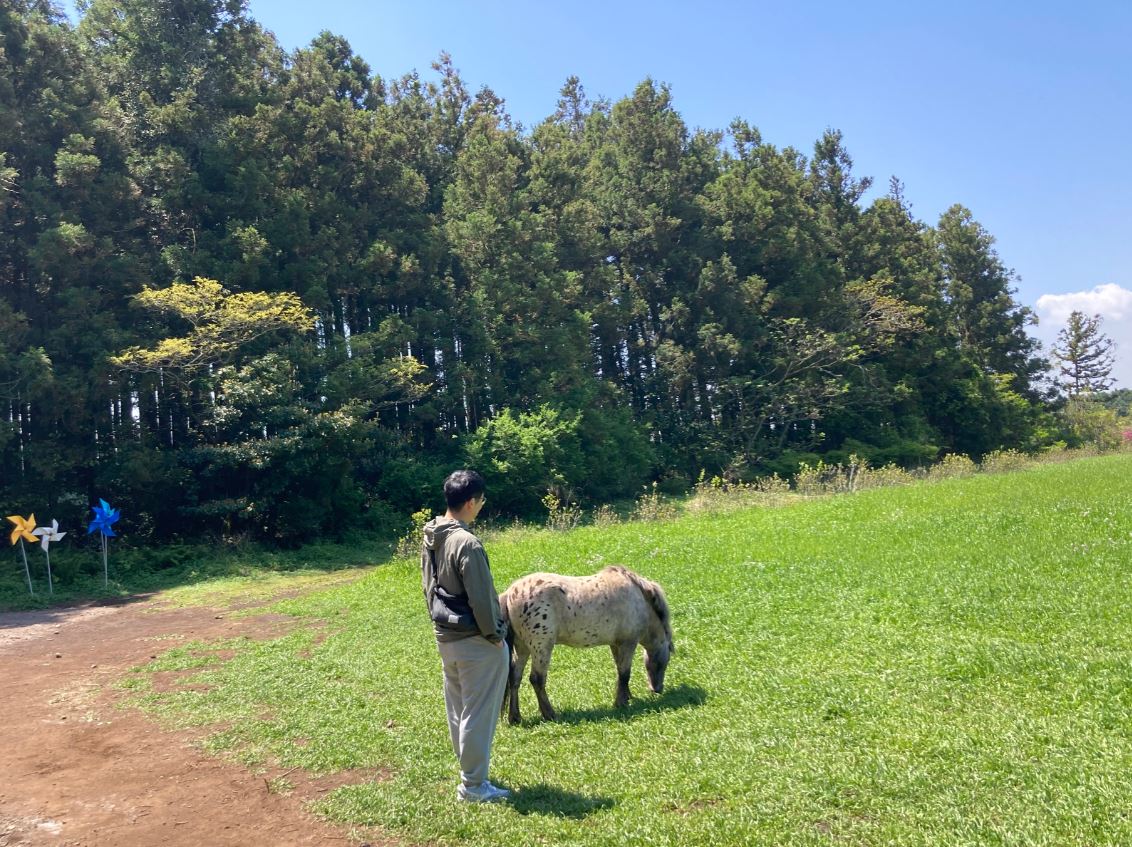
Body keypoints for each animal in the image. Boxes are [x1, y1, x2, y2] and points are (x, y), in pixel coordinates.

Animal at [498, 566, 670, 724]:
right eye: (665, 662)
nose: (657, 689)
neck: (637, 598)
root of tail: (509, 594)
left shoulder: (616, 644)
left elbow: (620, 671)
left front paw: (627, 697)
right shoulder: (628, 643)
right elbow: (625, 673)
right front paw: (620, 703)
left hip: (522, 648)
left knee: (515, 677)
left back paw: (515, 718)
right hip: (541, 647)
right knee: (537, 679)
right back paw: (550, 714)